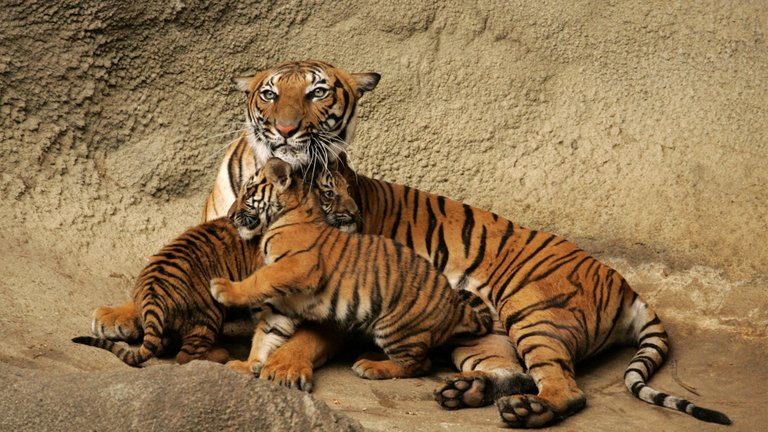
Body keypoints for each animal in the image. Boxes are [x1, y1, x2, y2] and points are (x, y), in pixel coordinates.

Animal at [72, 169, 360, 368]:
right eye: (329, 193)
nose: (353, 213)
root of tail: (154, 293)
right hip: (208, 314)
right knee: (185, 356)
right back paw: (219, 354)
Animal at [210, 158, 496, 378]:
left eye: (248, 192)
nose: (230, 215)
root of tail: (455, 305)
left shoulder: (297, 265)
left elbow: (260, 279)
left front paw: (223, 289)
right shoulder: (284, 302)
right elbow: (266, 334)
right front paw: (247, 365)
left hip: (395, 327)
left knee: (419, 364)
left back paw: (372, 367)